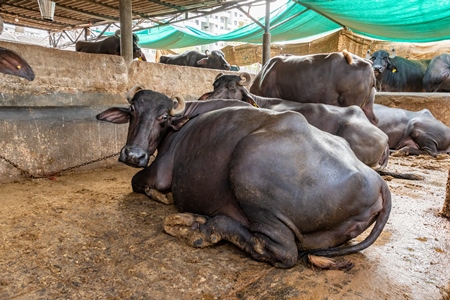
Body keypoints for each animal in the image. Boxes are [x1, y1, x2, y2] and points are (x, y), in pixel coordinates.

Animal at [97, 86, 390, 270]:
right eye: (132, 111)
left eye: (164, 116)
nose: (132, 155)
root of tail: (377, 181)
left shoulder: (158, 173)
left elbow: (139, 183)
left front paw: (163, 197)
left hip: (249, 172)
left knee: (282, 251)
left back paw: (198, 227)